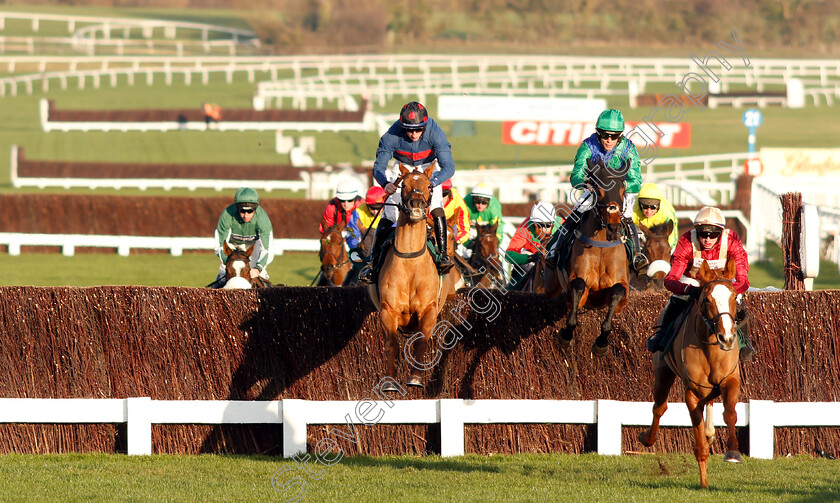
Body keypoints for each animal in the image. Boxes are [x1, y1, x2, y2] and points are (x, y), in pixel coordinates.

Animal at [368, 163, 460, 392]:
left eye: (428, 185)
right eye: (404, 185)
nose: (417, 204)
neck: (410, 260)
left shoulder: (428, 310)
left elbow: (422, 341)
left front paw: (416, 378)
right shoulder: (388, 311)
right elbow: (391, 343)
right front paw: (389, 382)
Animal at [544, 159, 632, 356]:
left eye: (623, 191)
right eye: (598, 192)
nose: (614, 228)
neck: (601, 247)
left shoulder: (622, 288)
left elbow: (617, 291)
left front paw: (601, 343)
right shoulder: (576, 283)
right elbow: (578, 286)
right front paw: (565, 336)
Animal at [636, 258, 740, 486]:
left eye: (734, 297)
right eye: (707, 299)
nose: (727, 338)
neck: (710, 349)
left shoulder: (730, 381)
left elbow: (730, 413)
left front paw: (733, 453)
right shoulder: (692, 392)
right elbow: (699, 444)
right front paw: (704, 482)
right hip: (662, 372)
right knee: (659, 407)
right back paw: (647, 438)